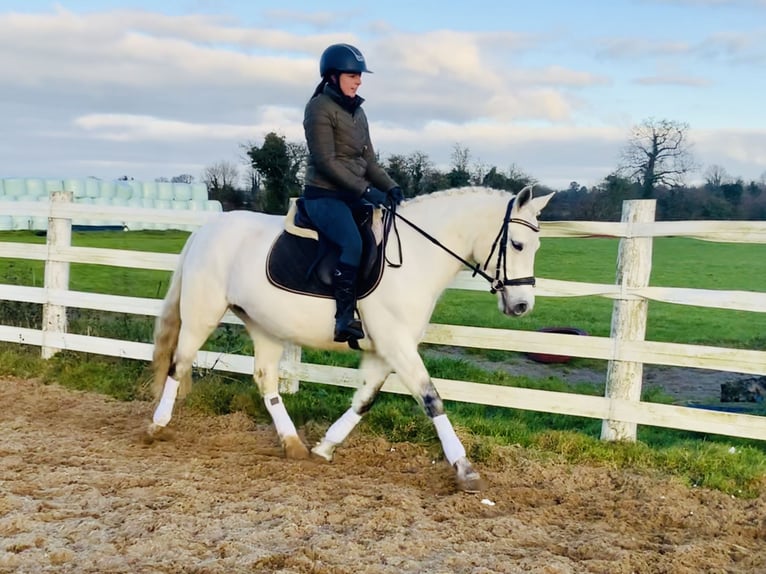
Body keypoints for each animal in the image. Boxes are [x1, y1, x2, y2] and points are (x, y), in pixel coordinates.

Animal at [147, 187, 556, 492]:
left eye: (537, 248)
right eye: (518, 245)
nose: (522, 305)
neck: (417, 257)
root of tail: (206, 230)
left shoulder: (386, 350)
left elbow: (365, 400)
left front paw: (325, 447)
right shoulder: (397, 344)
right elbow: (431, 398)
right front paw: (465, 468)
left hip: (265, 326)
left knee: (265, 379)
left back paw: (293, 444)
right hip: (202, 313)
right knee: (179, 363)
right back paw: (157, 425)